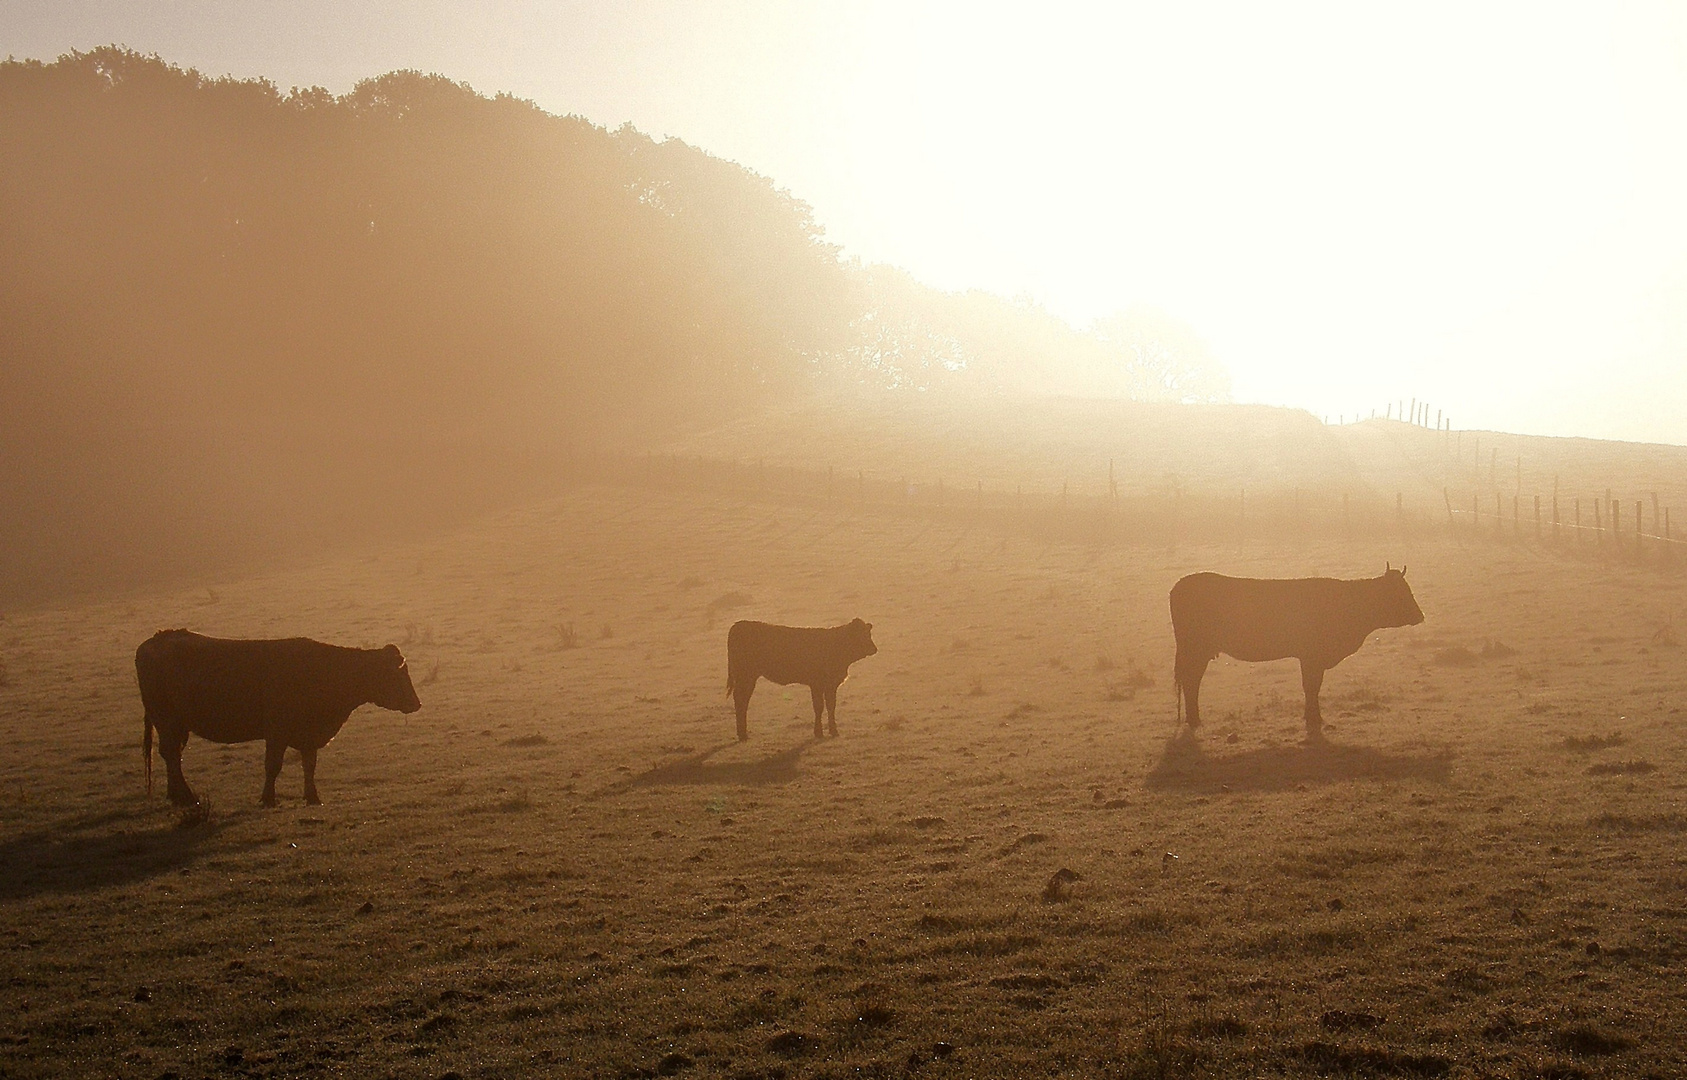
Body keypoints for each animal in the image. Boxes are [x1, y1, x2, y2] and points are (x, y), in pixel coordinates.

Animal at [140, 627, 425, 806]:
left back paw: (177, 796)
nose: (416, 703)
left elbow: (309, 765)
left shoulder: (309, 735)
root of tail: (157, 638)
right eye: (398, 674)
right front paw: (268, 799)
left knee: (172, 756)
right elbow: (273, 766)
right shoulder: (277, 733)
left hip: (176, 725)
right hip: (166, 720)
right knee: (171, 754)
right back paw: (186, 797)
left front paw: (312, 797)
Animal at [728, 614, 883, 742]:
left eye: (868, 633)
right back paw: (742, 734)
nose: (874, 649)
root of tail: (739, 624)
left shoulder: (831, 685)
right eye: (860, 634)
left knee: (743, 700)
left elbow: (831, 706)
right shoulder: (817, 684)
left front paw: (833, 731)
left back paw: (742, 733)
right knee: (740, 699)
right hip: (746, 675)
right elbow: (819, 707)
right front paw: (819, 732)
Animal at [1174, 567, 1423, 735]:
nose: (1420, 616)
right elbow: (1312, 686)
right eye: (1401, 592)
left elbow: (1312, 687)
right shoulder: (1311, 657)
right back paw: (1194, 720)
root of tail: (1180, 585)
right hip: (1194, 651)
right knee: (1191, 681)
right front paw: (1314, 718)